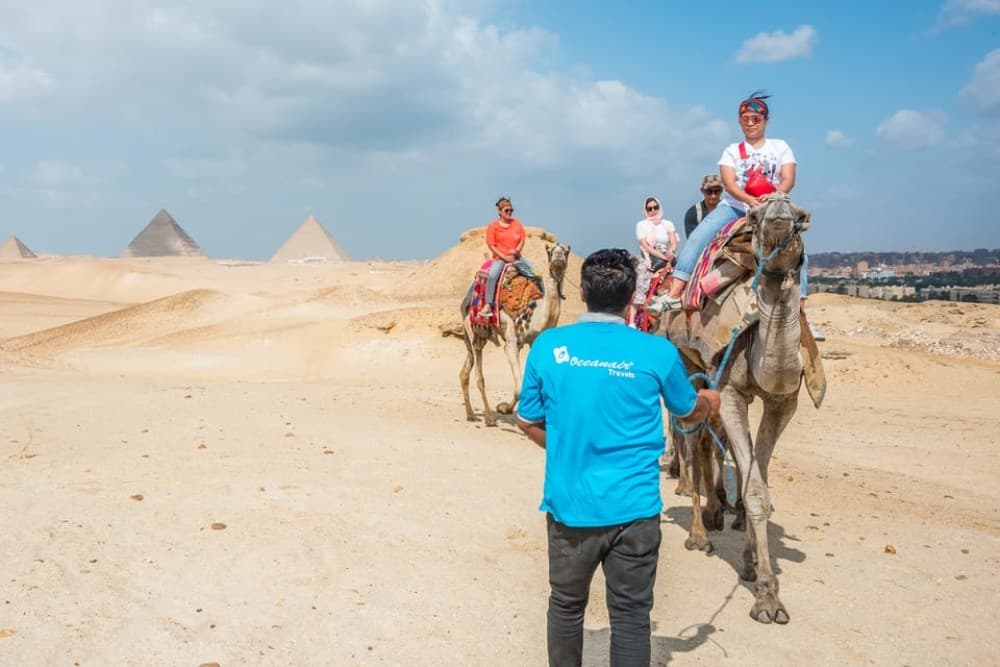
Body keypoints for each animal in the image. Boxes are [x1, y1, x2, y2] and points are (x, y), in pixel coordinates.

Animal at [459, 243, 570, 426]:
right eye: (549, 251)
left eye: (567, 251)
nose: (559, 256)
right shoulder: (510, 342)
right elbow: (519, 388)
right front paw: (504, 408)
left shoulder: (531, 341)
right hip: (472, 328)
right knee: (478, 376)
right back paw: (489, 418)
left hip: (478, 336)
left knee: (465, 372)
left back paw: (470, 415)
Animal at [665, 192, 811, 625]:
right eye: (755, 215)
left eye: (801, 217)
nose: (777, 210)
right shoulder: (729, 391)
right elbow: (754, 489)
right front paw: (767, 597)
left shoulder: (783, 401)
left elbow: (755, 481)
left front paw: (751, 563)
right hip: (686, 364)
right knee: (692, 440)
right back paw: (698, 533)